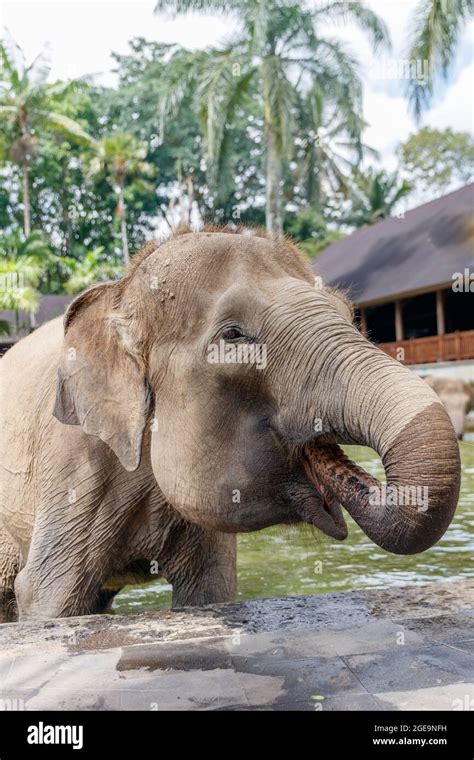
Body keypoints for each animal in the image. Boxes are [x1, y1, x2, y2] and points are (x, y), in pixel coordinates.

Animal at [0, 226, 462, 616]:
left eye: (349, 316)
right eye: (234, 335)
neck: (120, 292)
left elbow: (211, 590)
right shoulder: (74, 466)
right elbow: (48, 593)